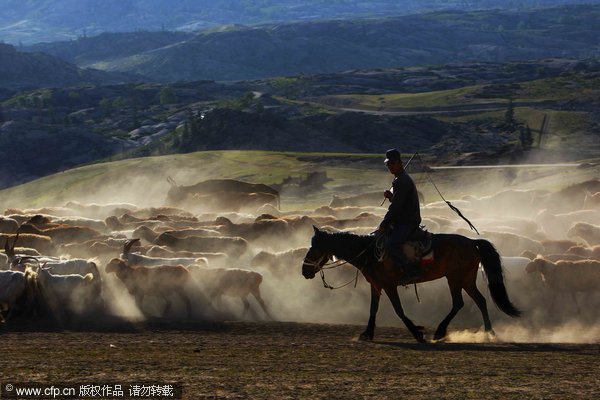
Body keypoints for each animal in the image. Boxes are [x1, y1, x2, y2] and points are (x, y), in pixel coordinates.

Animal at [300, 227, 520, 342]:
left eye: (314, 248)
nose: (304, 271)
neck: (370, 253)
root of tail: (472, 242)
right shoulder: (376, 285)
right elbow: (373, 309)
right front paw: (367, 333)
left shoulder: (389, 286)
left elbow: (398, 310)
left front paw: (417, 332)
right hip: (465, 280)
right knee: (480, 301)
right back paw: (489, 333)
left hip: (456, 279)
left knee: (459, 303)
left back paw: (440, 332)